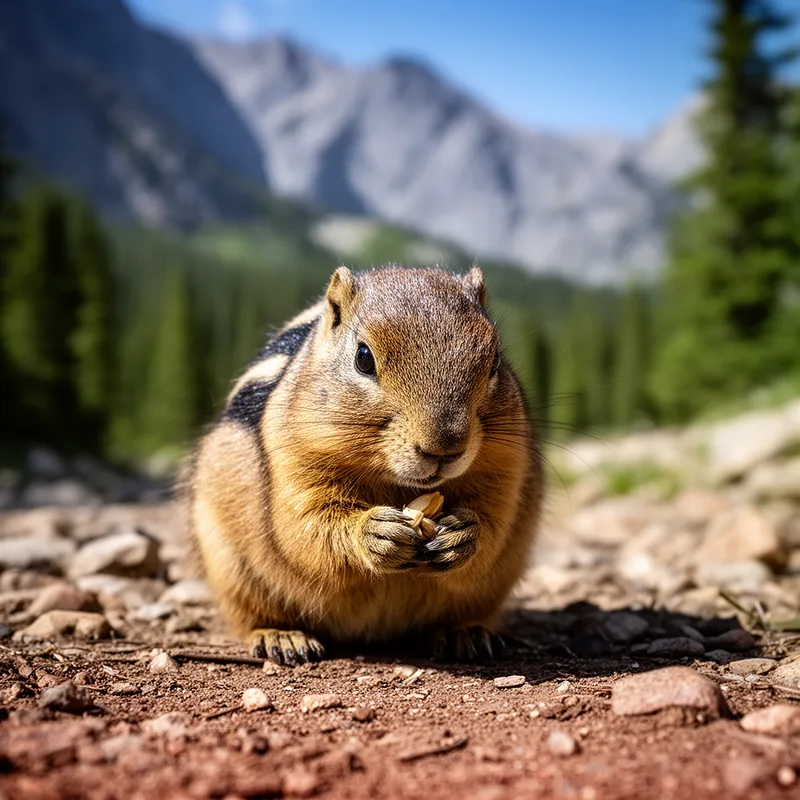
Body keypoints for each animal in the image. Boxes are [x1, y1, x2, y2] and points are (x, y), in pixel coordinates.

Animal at [186, 265, 541, 665]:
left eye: (495, 360)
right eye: (363, 357)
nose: (445, 447)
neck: (399, 484)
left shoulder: (506, 465)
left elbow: (495, 522)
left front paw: (463, 534)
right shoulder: (293, 463)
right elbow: (309, 525)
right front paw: (372, 533)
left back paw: (464, 633)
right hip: (230, 566)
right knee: (251, 613)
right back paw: (281, 636)